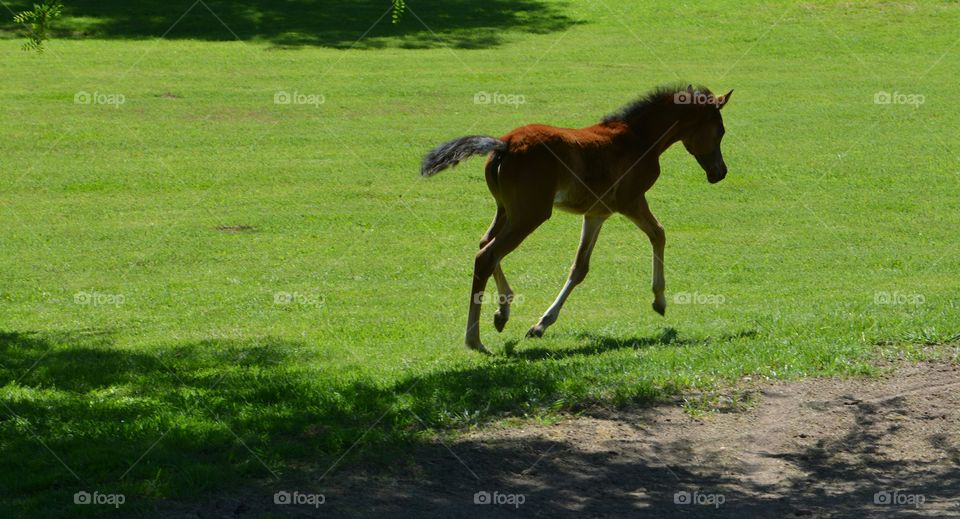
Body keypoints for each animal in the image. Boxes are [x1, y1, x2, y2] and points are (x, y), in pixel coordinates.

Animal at [421, 85, 733, 354]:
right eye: (720, 131)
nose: (720, 172)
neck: (639, 137)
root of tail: (504, 144)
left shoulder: (596, 213)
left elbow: (580, 267)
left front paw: (540, 325)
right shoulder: (631, 201)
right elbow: (658, 233)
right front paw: (659, 299)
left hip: (506, 210)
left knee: (485, 244)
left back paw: (502, 312)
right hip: (530, 215)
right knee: (487, 255)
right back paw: (474, 339)